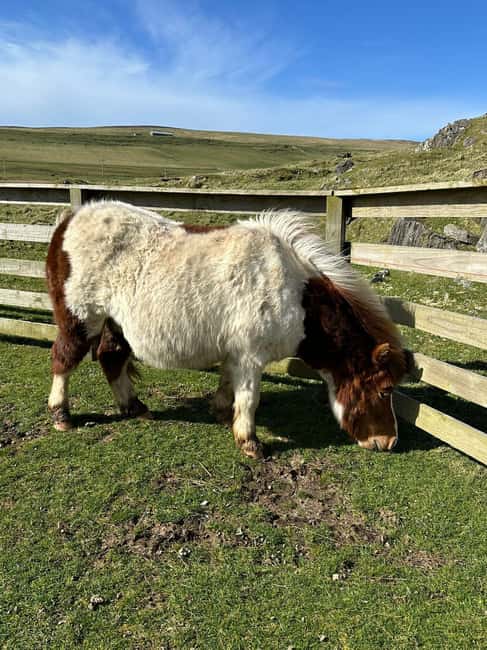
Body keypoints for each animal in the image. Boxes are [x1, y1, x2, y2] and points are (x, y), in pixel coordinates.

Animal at [46, 201, 413, 459]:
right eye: (385, 390)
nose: (389, 441)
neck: (295, 293)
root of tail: (69, 220)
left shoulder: (236, 353)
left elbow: (228, 384)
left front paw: (223, 414)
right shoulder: (251, 356)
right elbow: (250, 398)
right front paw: (250, 443)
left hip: (115, 325)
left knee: (111, 359)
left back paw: (134, 408)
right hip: (82, 320)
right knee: (64, 359)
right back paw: (62, 415)